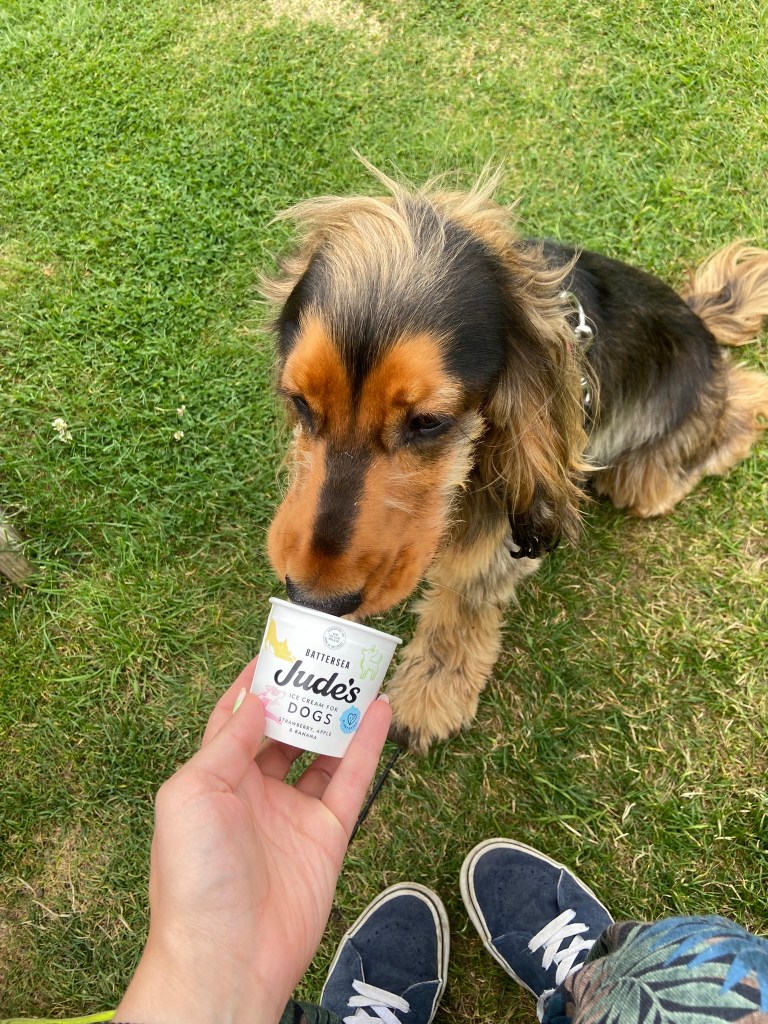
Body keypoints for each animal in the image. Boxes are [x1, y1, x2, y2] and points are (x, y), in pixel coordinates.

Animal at [262, 163, 768, 753]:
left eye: (428, 421)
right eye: (299, 401)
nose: (313, 600)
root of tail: (701, 326)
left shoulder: (508, 523)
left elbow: (465, 602)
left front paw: (429, 695)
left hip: (652, 467)